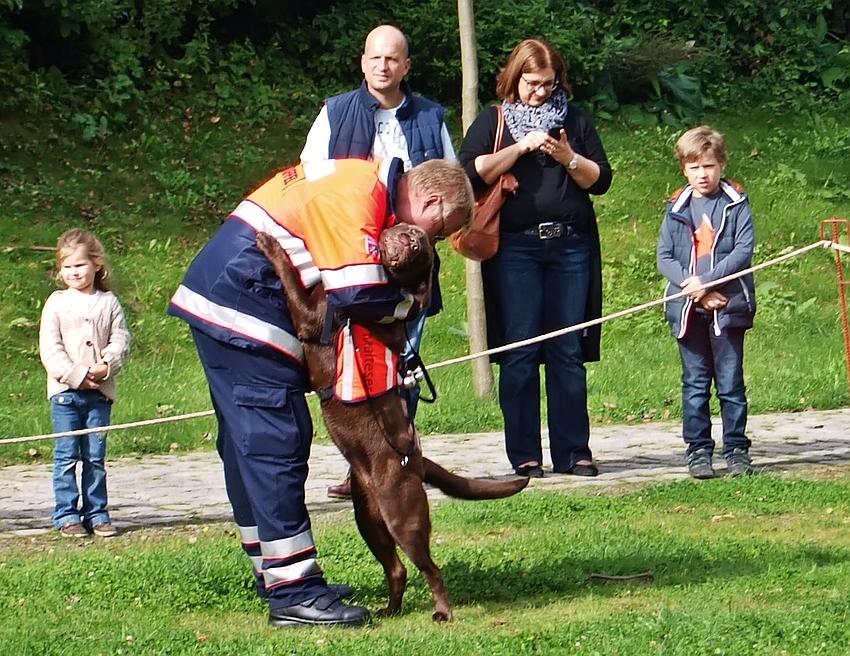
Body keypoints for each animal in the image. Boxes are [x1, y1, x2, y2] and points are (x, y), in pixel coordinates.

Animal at [255, 226, 528, 620]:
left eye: (418, 247)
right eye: (411, 235)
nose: (408, 235)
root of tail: (416, 462)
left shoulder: (310, 317)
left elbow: (291, 280)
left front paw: (269, 243)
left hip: (403, 517)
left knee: (430, 568)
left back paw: (442, 613)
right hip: (368, 518)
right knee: (397, 569)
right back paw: (389, 610)